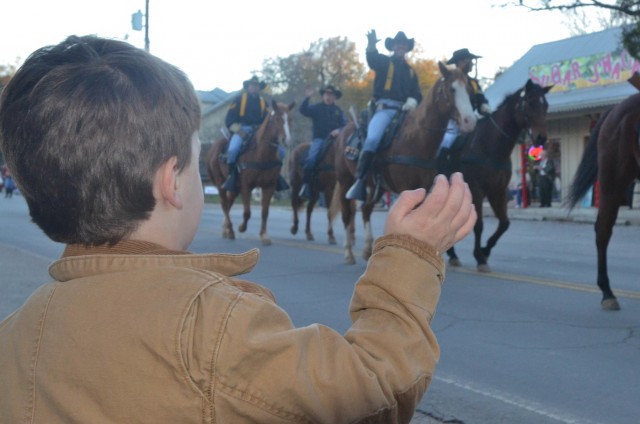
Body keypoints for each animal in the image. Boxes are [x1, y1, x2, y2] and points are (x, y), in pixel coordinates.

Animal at [208, 100, 296, 245]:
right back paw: (230, 230)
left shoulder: (269, 186)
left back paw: (226, 230)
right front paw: (242, 228)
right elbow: (247, 212)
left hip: (234, 187)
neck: (262, 154)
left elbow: (265, 211)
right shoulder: (246, 186)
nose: (287, 140)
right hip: (221, 183)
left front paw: (264, 235)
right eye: (276, 119)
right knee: (224, 204)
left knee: (229, 202)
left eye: (290, 119)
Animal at [332, 61, 478, 264]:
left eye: (469, 90)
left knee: (366, 210)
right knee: (347, 214)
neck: (415, 139)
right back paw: (348, 252)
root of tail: (343, 133)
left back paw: (368, 249)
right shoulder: (406, 188)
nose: (469, 121)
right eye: (452, 89)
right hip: (346, 181)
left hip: (376, 186)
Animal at [442, 78, 552, 272]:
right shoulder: (476, 190)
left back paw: (452, 253)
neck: (490, 145)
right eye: (530, 103)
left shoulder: (498, 191)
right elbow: (478, 224)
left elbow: (504, 223)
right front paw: (480, 257)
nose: (541, 138)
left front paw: (485, 250)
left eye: (545, 105)